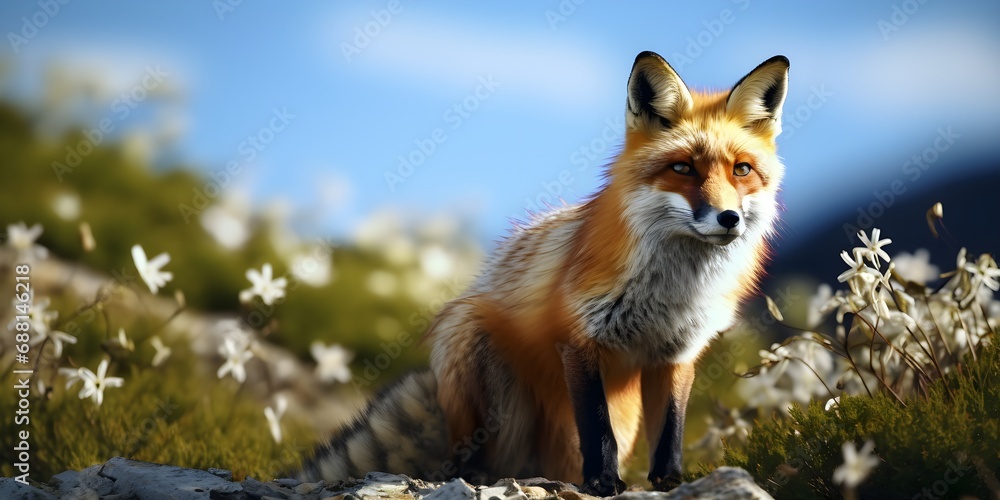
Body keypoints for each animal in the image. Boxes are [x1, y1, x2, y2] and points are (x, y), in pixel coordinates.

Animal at [299, 51, 789, 495]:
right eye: (683, 168)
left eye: (741, 170)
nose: (728, 218)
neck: (672, 293)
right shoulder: (578, 339)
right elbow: (597, 428)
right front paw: (603, 482)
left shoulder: (678, 352)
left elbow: (671, 429)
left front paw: (669, 482)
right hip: (469, 336)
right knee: (474, 459)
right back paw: (478, 475)